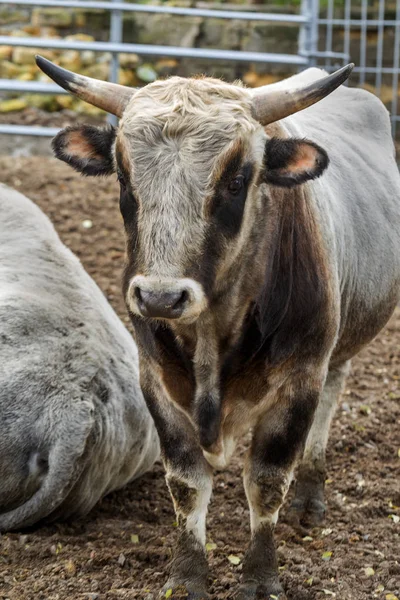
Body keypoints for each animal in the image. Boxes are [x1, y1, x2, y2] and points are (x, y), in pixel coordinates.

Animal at [35, 54, 400, 596]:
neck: (212, 334)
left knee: (329, 404)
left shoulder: (299, 380)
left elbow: (266, 483)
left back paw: (309, 496)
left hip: (333, 353)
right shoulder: (156, 381)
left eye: (236, 180)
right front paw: (186, 575)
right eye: (123, 177)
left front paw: (260, 576)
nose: (161, 296)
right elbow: (187, 485)